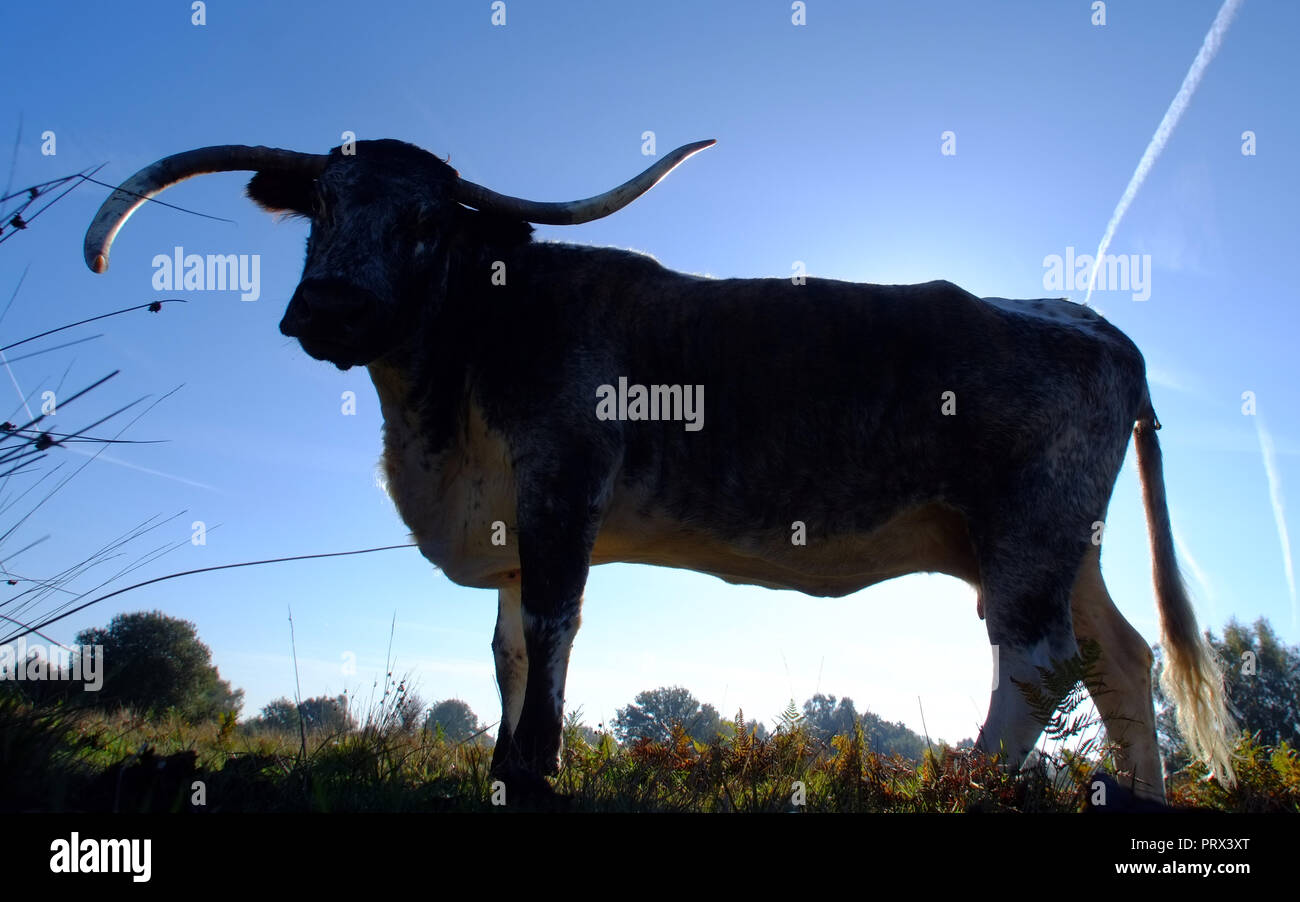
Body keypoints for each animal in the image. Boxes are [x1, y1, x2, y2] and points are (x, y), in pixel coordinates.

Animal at [86, 141, 1232, 805]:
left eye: (426, 221)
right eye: (323, 203)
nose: (330, 308)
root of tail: (1084, 317)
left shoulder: (562, 490)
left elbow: (552, 629)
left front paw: (533, 770)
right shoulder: (509, 524)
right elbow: (506, 650)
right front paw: (501, 767)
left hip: (1028, 531)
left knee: (1037, 661)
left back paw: (962, 788)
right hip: (1052, 543)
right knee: (1118, 654)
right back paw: (1141, 799)